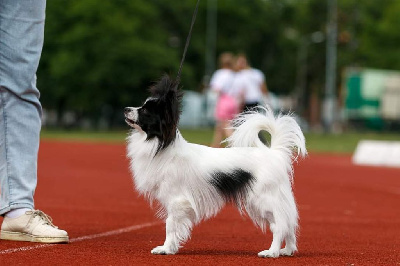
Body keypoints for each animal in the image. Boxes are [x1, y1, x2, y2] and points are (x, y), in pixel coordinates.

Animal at [125, 75, 306, 258]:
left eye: (145, 111)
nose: (126, 109)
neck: (162, 146)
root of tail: (274, 153)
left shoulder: (177, 201)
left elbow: (170, 225)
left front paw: (166, 249)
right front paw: (171, 248)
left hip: (263, 199)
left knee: (280, 226)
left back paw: (272, 252)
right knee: (289, 224)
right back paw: (287, 250)